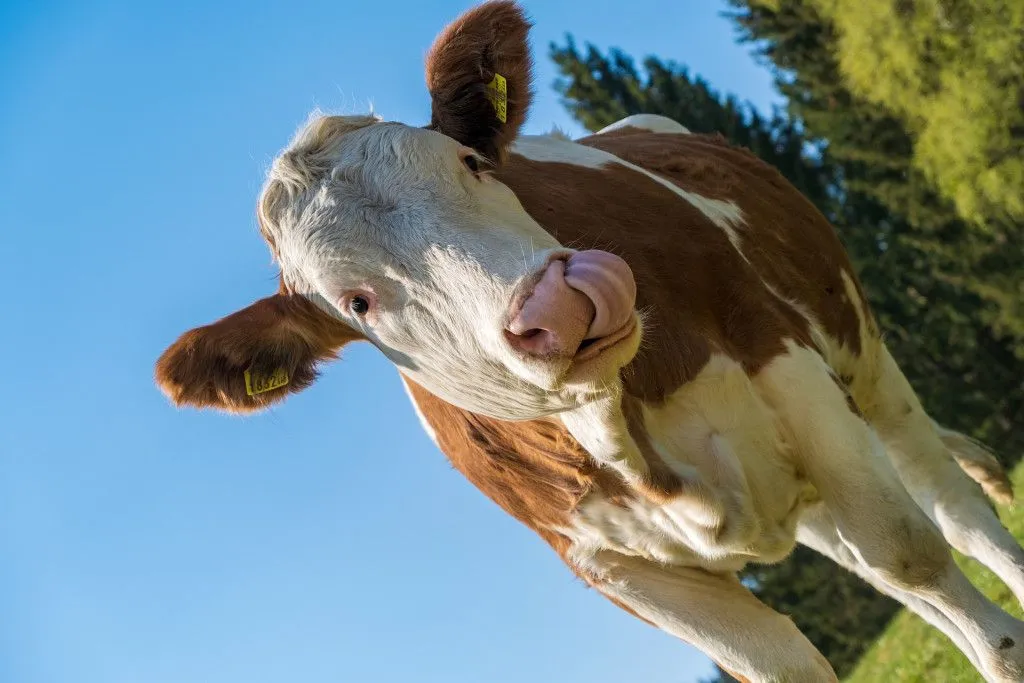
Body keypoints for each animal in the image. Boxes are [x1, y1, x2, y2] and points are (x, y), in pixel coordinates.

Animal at [155, 2, 1024, 680]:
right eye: (355, 302)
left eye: (472, 163)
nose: (561, 304)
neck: (622, 430)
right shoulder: (608, 564)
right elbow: (787, 659)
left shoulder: (783, 362)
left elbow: (909, 552)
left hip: (860, 355)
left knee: (947, 503)